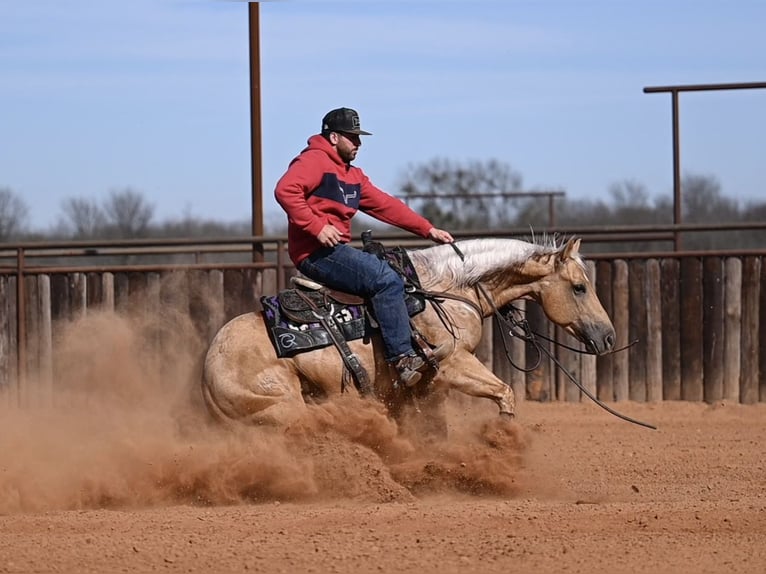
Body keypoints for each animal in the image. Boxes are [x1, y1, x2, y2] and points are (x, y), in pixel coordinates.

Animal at [201, 236, 615, 427]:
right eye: (580, 287)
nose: (609, 336)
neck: (446, 289)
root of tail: (207, 370)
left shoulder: (416, 388)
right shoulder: (451, 364)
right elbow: (505, 392)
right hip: (283, 406)